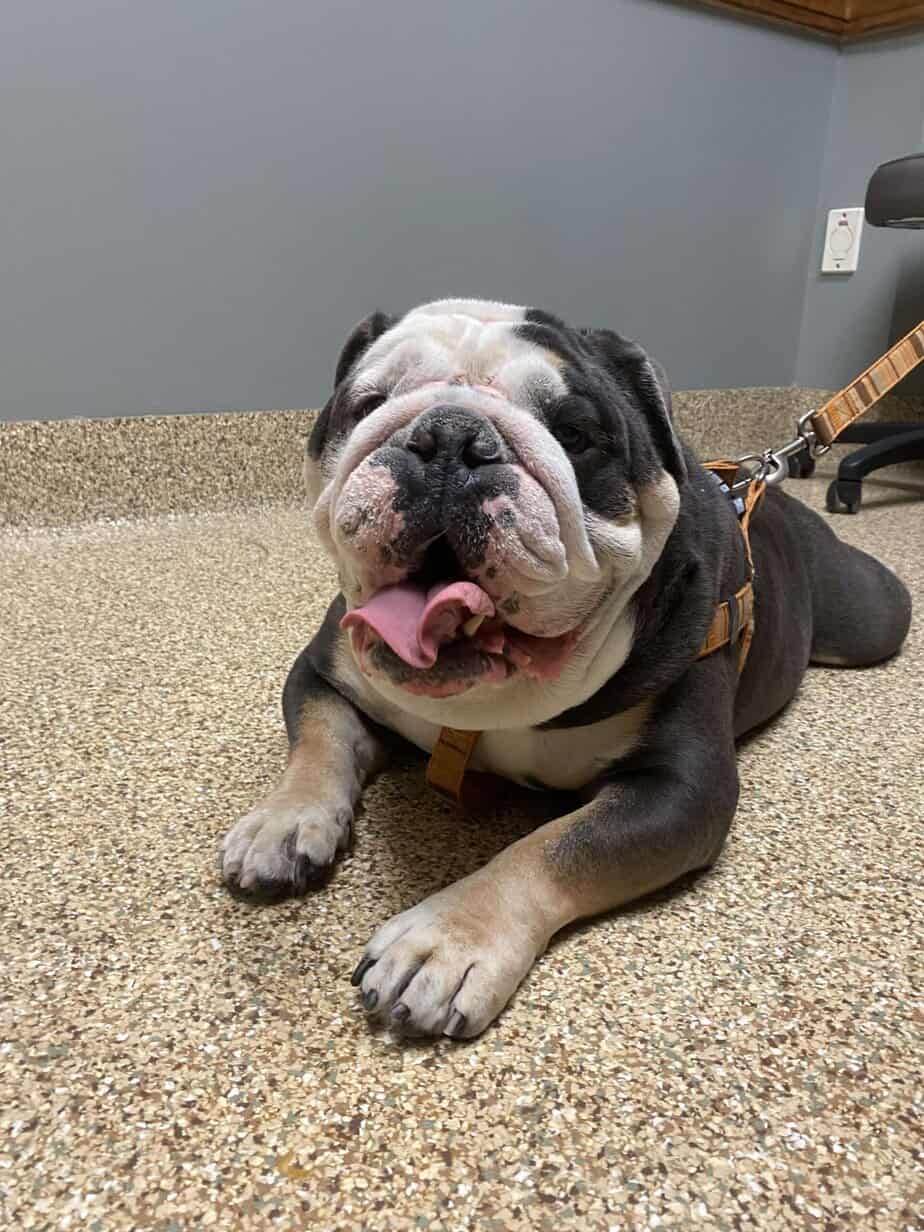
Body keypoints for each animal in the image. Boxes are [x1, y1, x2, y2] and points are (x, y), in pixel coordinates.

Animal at [221, 298, 912, 1039]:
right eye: (368, 404)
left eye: (576, 434)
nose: (452, 437)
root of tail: (766, 484)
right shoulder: (326, 671)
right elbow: (319, 742)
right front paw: (282, 824)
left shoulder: (679, 788)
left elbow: (554, 846)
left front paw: (448, 940)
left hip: (868, 616)